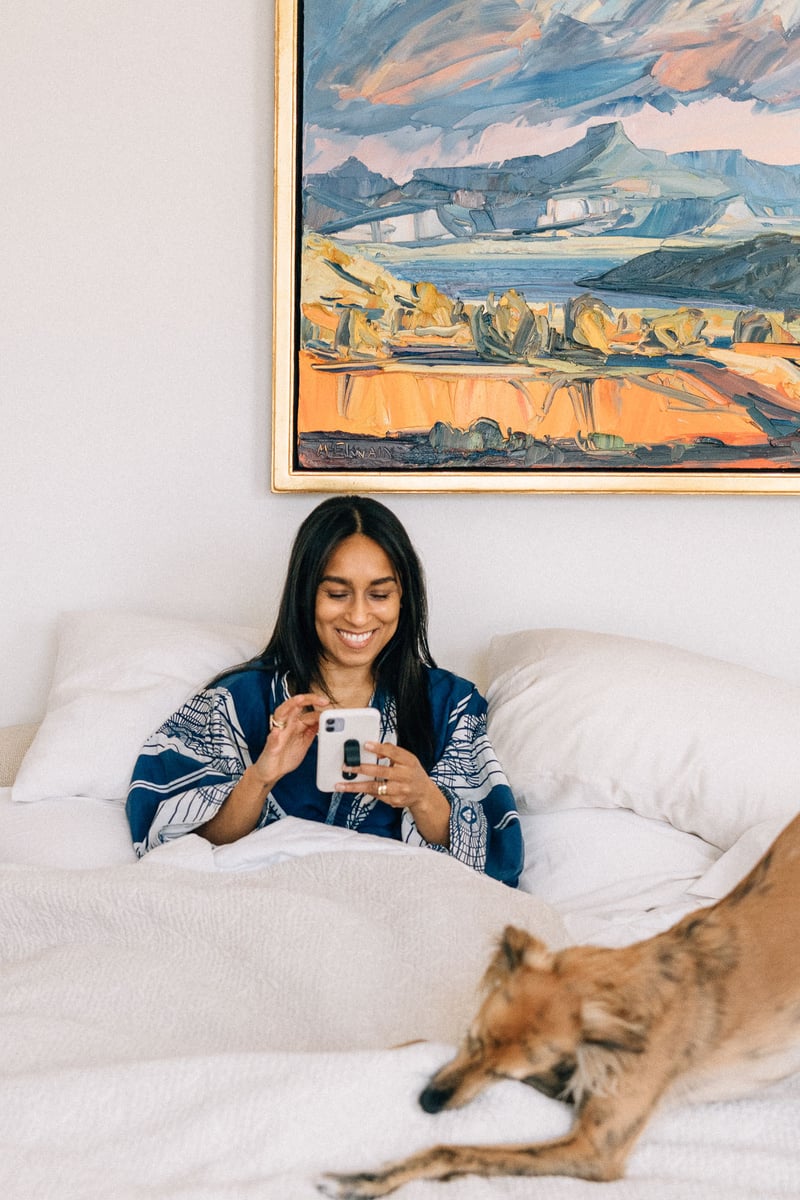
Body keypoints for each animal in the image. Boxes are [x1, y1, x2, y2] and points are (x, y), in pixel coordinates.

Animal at [323, 811, 800, 1195]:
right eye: (470, 1039)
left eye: (503, 1074)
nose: (427, 1103)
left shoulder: (595, 1148)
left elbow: (453, 1150)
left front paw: (368, 1179)